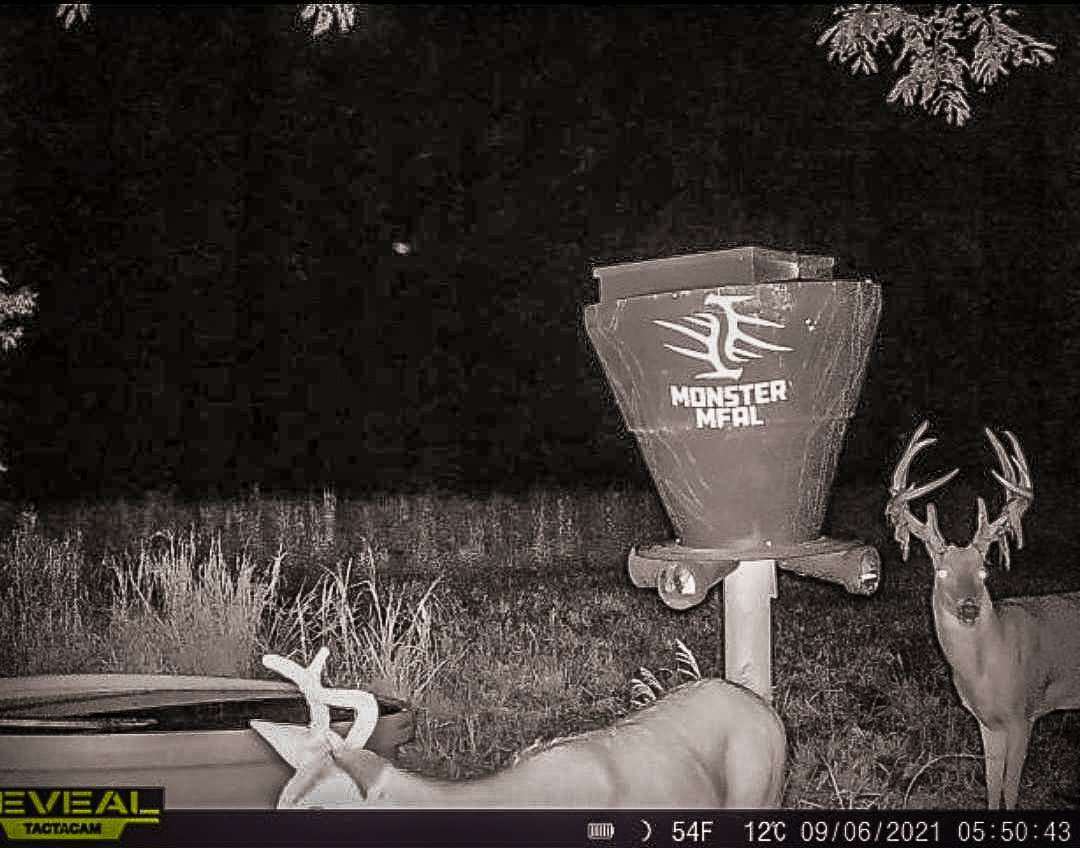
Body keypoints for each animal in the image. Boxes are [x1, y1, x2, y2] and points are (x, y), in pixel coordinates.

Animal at [885, 420, 1080, 809]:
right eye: (941, 572)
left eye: (984, 571)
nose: (969, 607)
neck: (987, 669)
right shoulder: (987, 722)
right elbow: (992, 785)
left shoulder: (1023, 714)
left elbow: (1010, 789)